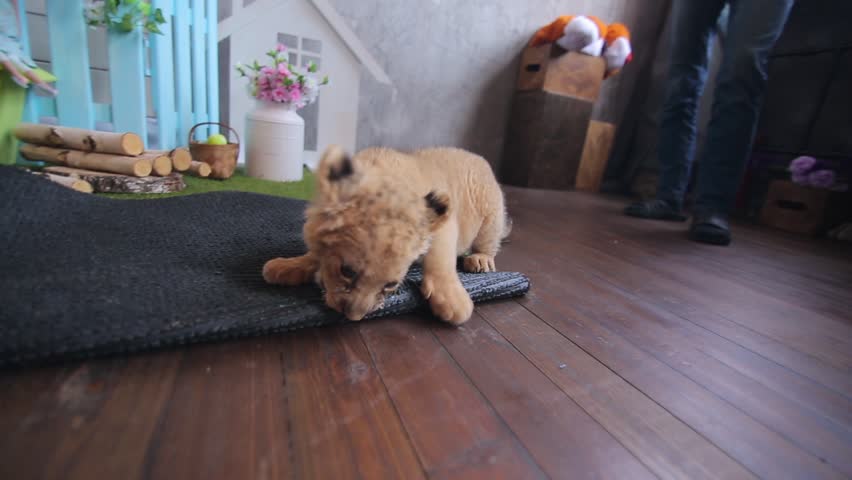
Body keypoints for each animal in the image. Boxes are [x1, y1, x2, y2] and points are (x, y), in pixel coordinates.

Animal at [262, 145, 509, 325]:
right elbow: (315, 252)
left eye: (390, 285)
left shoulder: (443, 226)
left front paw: (454, 302)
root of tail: (479, 158)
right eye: (346, 271)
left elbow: (441, 259)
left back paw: (480, 260)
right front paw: (287, 266)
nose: (353, 318)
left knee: (488, 243)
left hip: (491, 218)